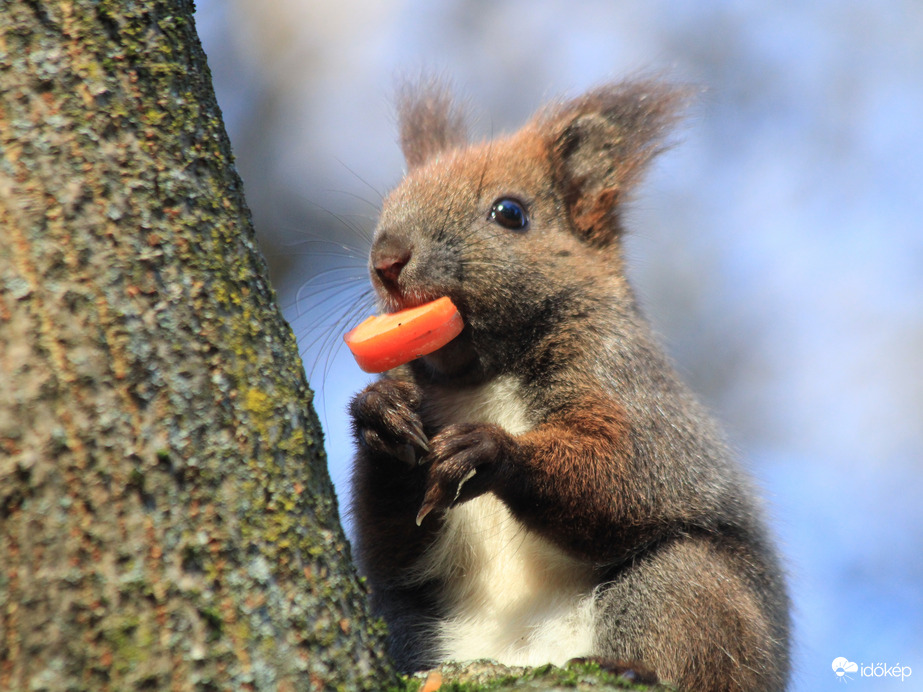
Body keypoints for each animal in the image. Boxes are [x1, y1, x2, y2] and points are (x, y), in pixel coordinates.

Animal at [348, 78, 796, 688]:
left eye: (510, 213)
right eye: (393, 197)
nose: (387, 259)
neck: (482, 378)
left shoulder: (625, 379)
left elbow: (628, 472)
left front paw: (493, 451)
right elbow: (392, 549)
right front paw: (380, 413)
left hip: (691, 591)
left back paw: (629, 666)